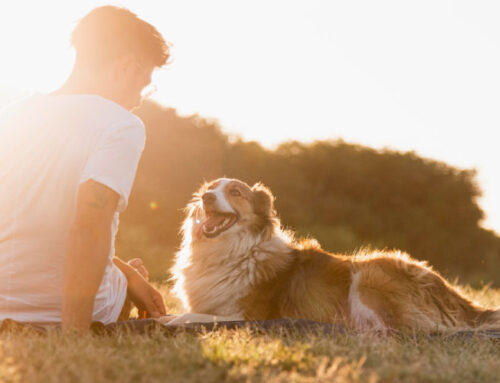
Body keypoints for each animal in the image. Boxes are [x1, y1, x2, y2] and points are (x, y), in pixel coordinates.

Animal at [170, 178, 498, 332]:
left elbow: (191, 316)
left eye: (235, 192)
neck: (232, 251)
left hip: (370, 274)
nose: (206, 197)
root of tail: (457, 297)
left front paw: (173, 321)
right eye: (211, 188)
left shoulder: (248, 315)